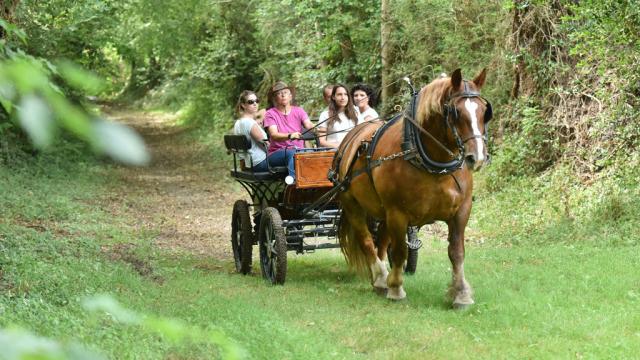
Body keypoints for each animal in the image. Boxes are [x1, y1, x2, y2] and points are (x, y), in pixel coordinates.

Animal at [332, 69, 492, 308]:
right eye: (456, 112)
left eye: (484, 111)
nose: (478, 157)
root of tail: (352, 136)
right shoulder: (398, 213)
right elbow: (400, 251)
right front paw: (396, 288)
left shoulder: (461, 211)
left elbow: (457, 252)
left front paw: (461, 293)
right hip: (353, 205)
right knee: (366, 240)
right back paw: (381, 278)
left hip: (383, 210)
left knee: (382, 242)